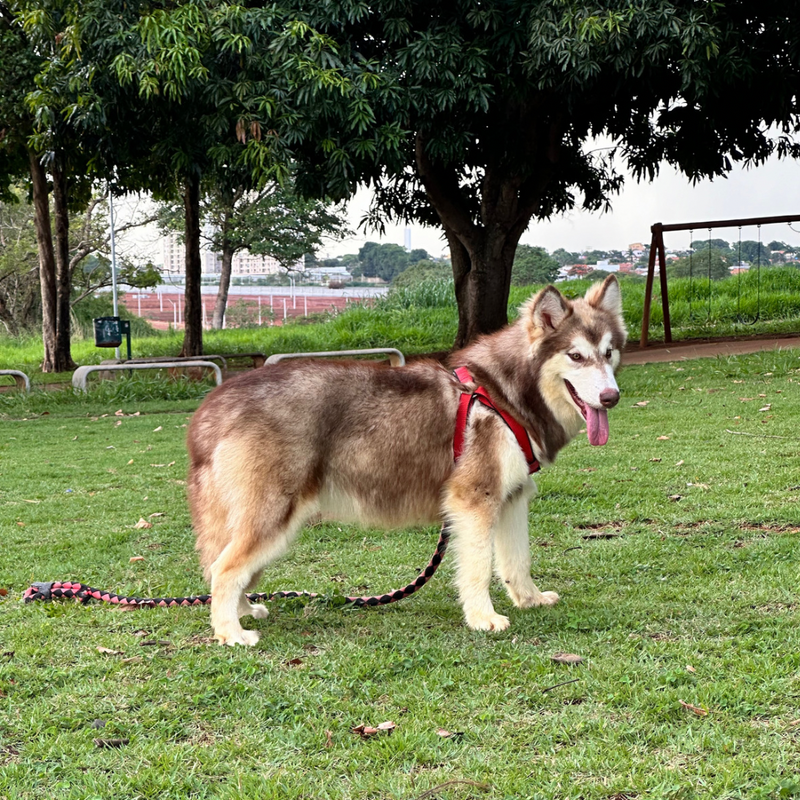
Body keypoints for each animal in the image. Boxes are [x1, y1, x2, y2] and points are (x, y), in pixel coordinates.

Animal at [186, 276, 624, 644]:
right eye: (575, 356)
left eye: (608, 353)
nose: (611, 398)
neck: (503, 393)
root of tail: (214, 405)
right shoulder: (474, 501)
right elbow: (479, 568)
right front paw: (483, 618)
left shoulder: (512, 498)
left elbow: (518, 562)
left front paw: (530, 600)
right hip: (274, 515)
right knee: (224, 570)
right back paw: (231, 632)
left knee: (225, 566)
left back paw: (243, 612)